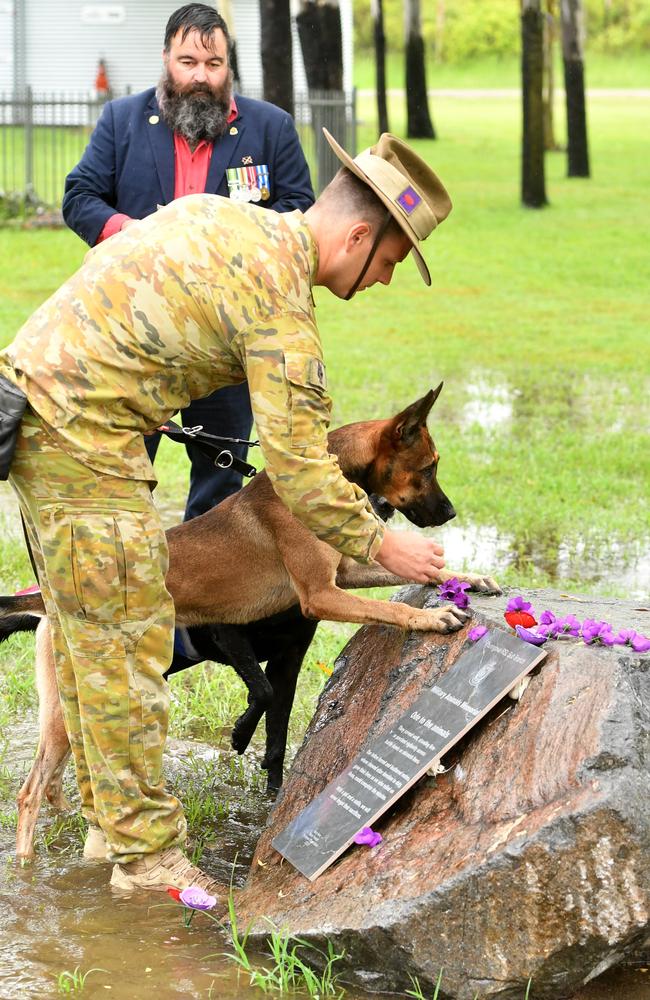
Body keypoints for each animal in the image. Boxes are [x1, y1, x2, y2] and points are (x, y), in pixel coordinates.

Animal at [1, 386, 496, 856]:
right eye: (429, 468)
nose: (450, 513)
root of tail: (46, 599)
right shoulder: (321, 594)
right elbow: (392, 610)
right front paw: (433, 616)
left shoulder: (343, 578)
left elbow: (418, 571)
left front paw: (467, 578)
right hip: (75, 708)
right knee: (30, 793)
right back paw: (28, 863)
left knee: (56, 782)